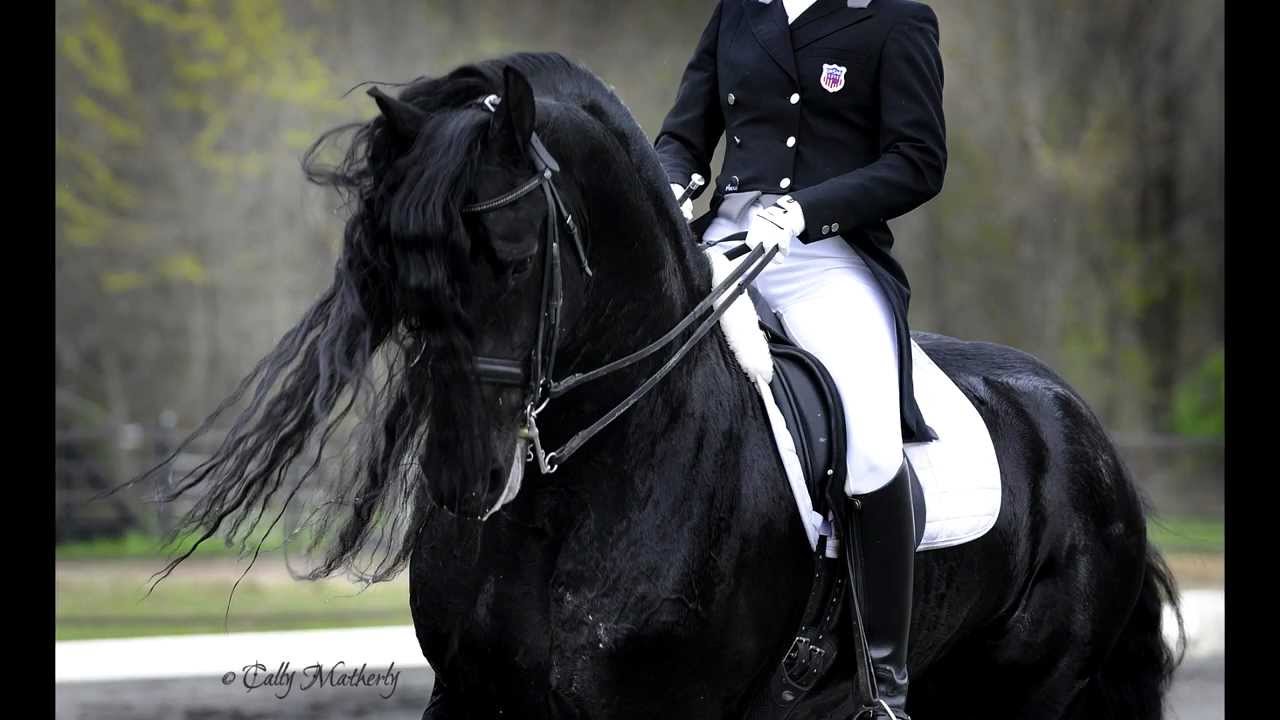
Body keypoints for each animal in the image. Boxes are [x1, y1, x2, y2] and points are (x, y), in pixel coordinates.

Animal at [147, 52, 1184, 719]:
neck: (571, 493)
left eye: (514, 252)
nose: (462, 482)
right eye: (401, 268)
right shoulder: (471, 693)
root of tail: (1084, 428)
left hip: (1025, 692)